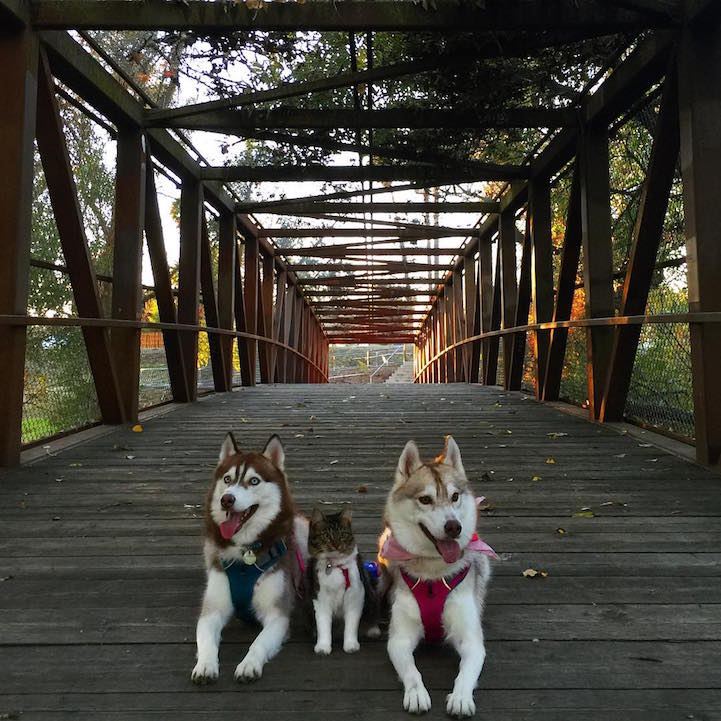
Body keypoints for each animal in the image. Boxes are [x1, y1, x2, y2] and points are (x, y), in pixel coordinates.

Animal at [306, 506, 380, 652]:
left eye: (342, 535)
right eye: (326, 535)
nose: (336, 545)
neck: (334, 566)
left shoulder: (355, 596)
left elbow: (351, 625)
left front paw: (351, 645)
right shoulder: (320, 598)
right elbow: (323, 625)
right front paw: (323, 647)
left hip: (371, 592)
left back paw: (373, 630)